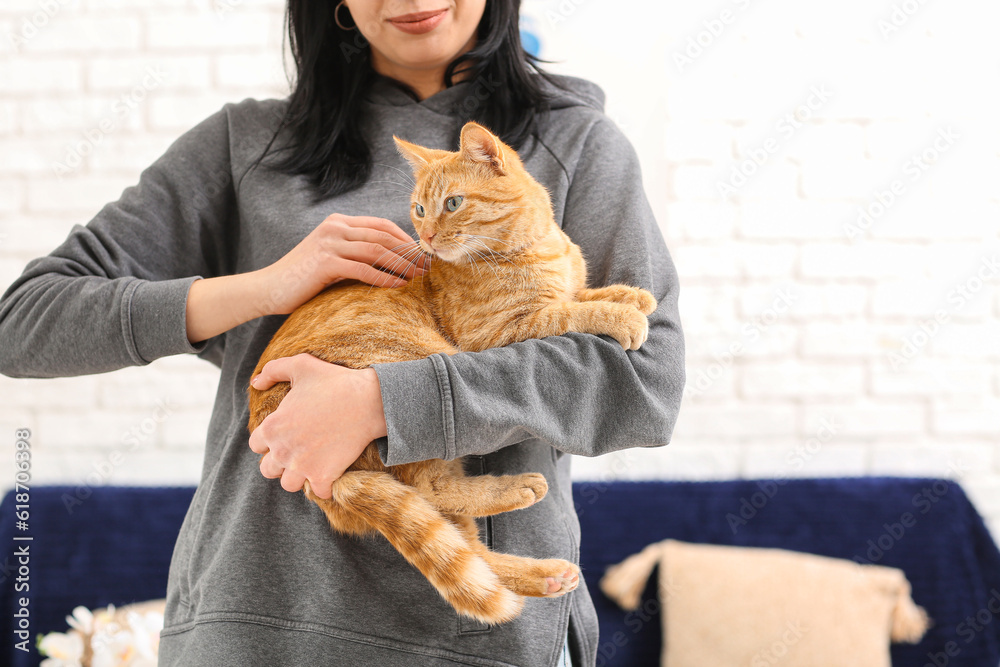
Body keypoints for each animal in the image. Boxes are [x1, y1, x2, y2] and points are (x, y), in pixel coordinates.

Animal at [248, 121, 656, 628]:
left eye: (453, 203)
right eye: (420, 209)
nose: (425, 237)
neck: (537, 247)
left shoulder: (557, 290)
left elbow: (580, 293)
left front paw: (630, 295)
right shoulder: (499, 333)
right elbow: (566, 313)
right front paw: (622, 316)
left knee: (464, 544)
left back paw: (543, 575)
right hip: (415, 362)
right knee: (433, 492)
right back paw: (520, 489)